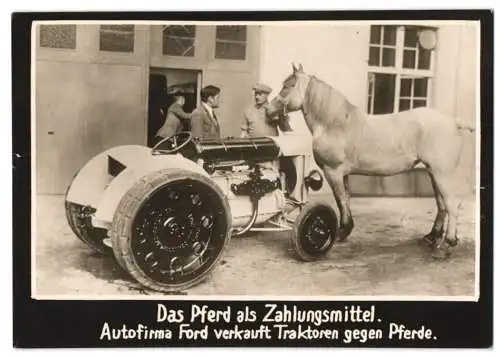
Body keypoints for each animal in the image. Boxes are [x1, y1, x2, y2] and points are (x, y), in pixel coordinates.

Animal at [268, 63, 474, 258]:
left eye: (287, 86)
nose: (269, 110)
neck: (335, 124)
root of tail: (454, 122)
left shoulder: (332, 172)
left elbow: (340, 200)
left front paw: (340, 231)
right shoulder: (342, 174)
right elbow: (345, 199)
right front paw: (345, 230)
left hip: (441, 174)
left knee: (451, 205)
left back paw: (447, 244)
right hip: (433, 173)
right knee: (442, 205)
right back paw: (431, 237)